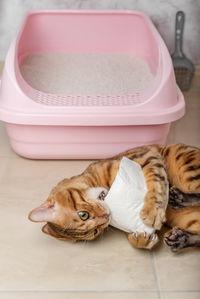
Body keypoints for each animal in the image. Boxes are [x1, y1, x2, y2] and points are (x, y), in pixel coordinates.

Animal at [28, 144, 200, 252]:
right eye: (95, 231)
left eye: (83, 215)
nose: (106, 216)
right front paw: (141, 239)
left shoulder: (148, 156)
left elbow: (156, 181)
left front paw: (153, 211)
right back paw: (181, 237)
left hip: (187, 164)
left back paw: (181, 198)